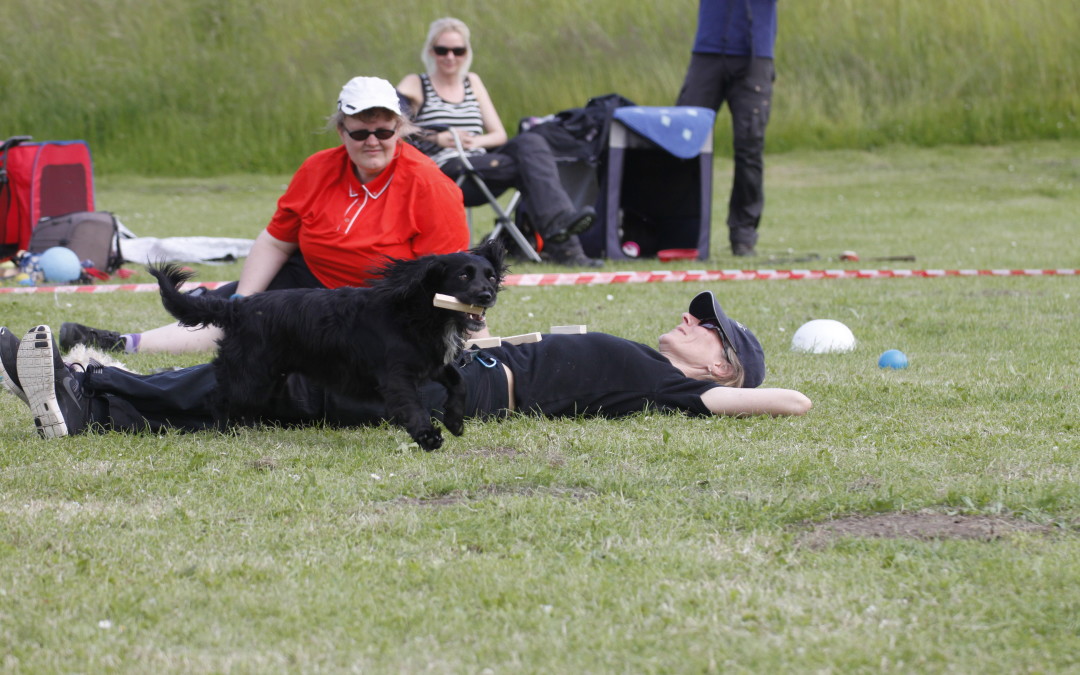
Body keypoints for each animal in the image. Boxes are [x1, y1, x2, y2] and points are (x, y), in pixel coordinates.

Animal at [147, 239, 505, 449]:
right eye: (463, 276)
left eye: (490, 275)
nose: (487, 295)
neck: (418, 312)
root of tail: (238, 307)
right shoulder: (396, 375)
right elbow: (413, 406)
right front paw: (428, 437)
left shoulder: (431, 363)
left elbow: (458, 381)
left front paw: (455, 421)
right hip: (251, 372)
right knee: (218, 398)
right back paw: (226, 433)